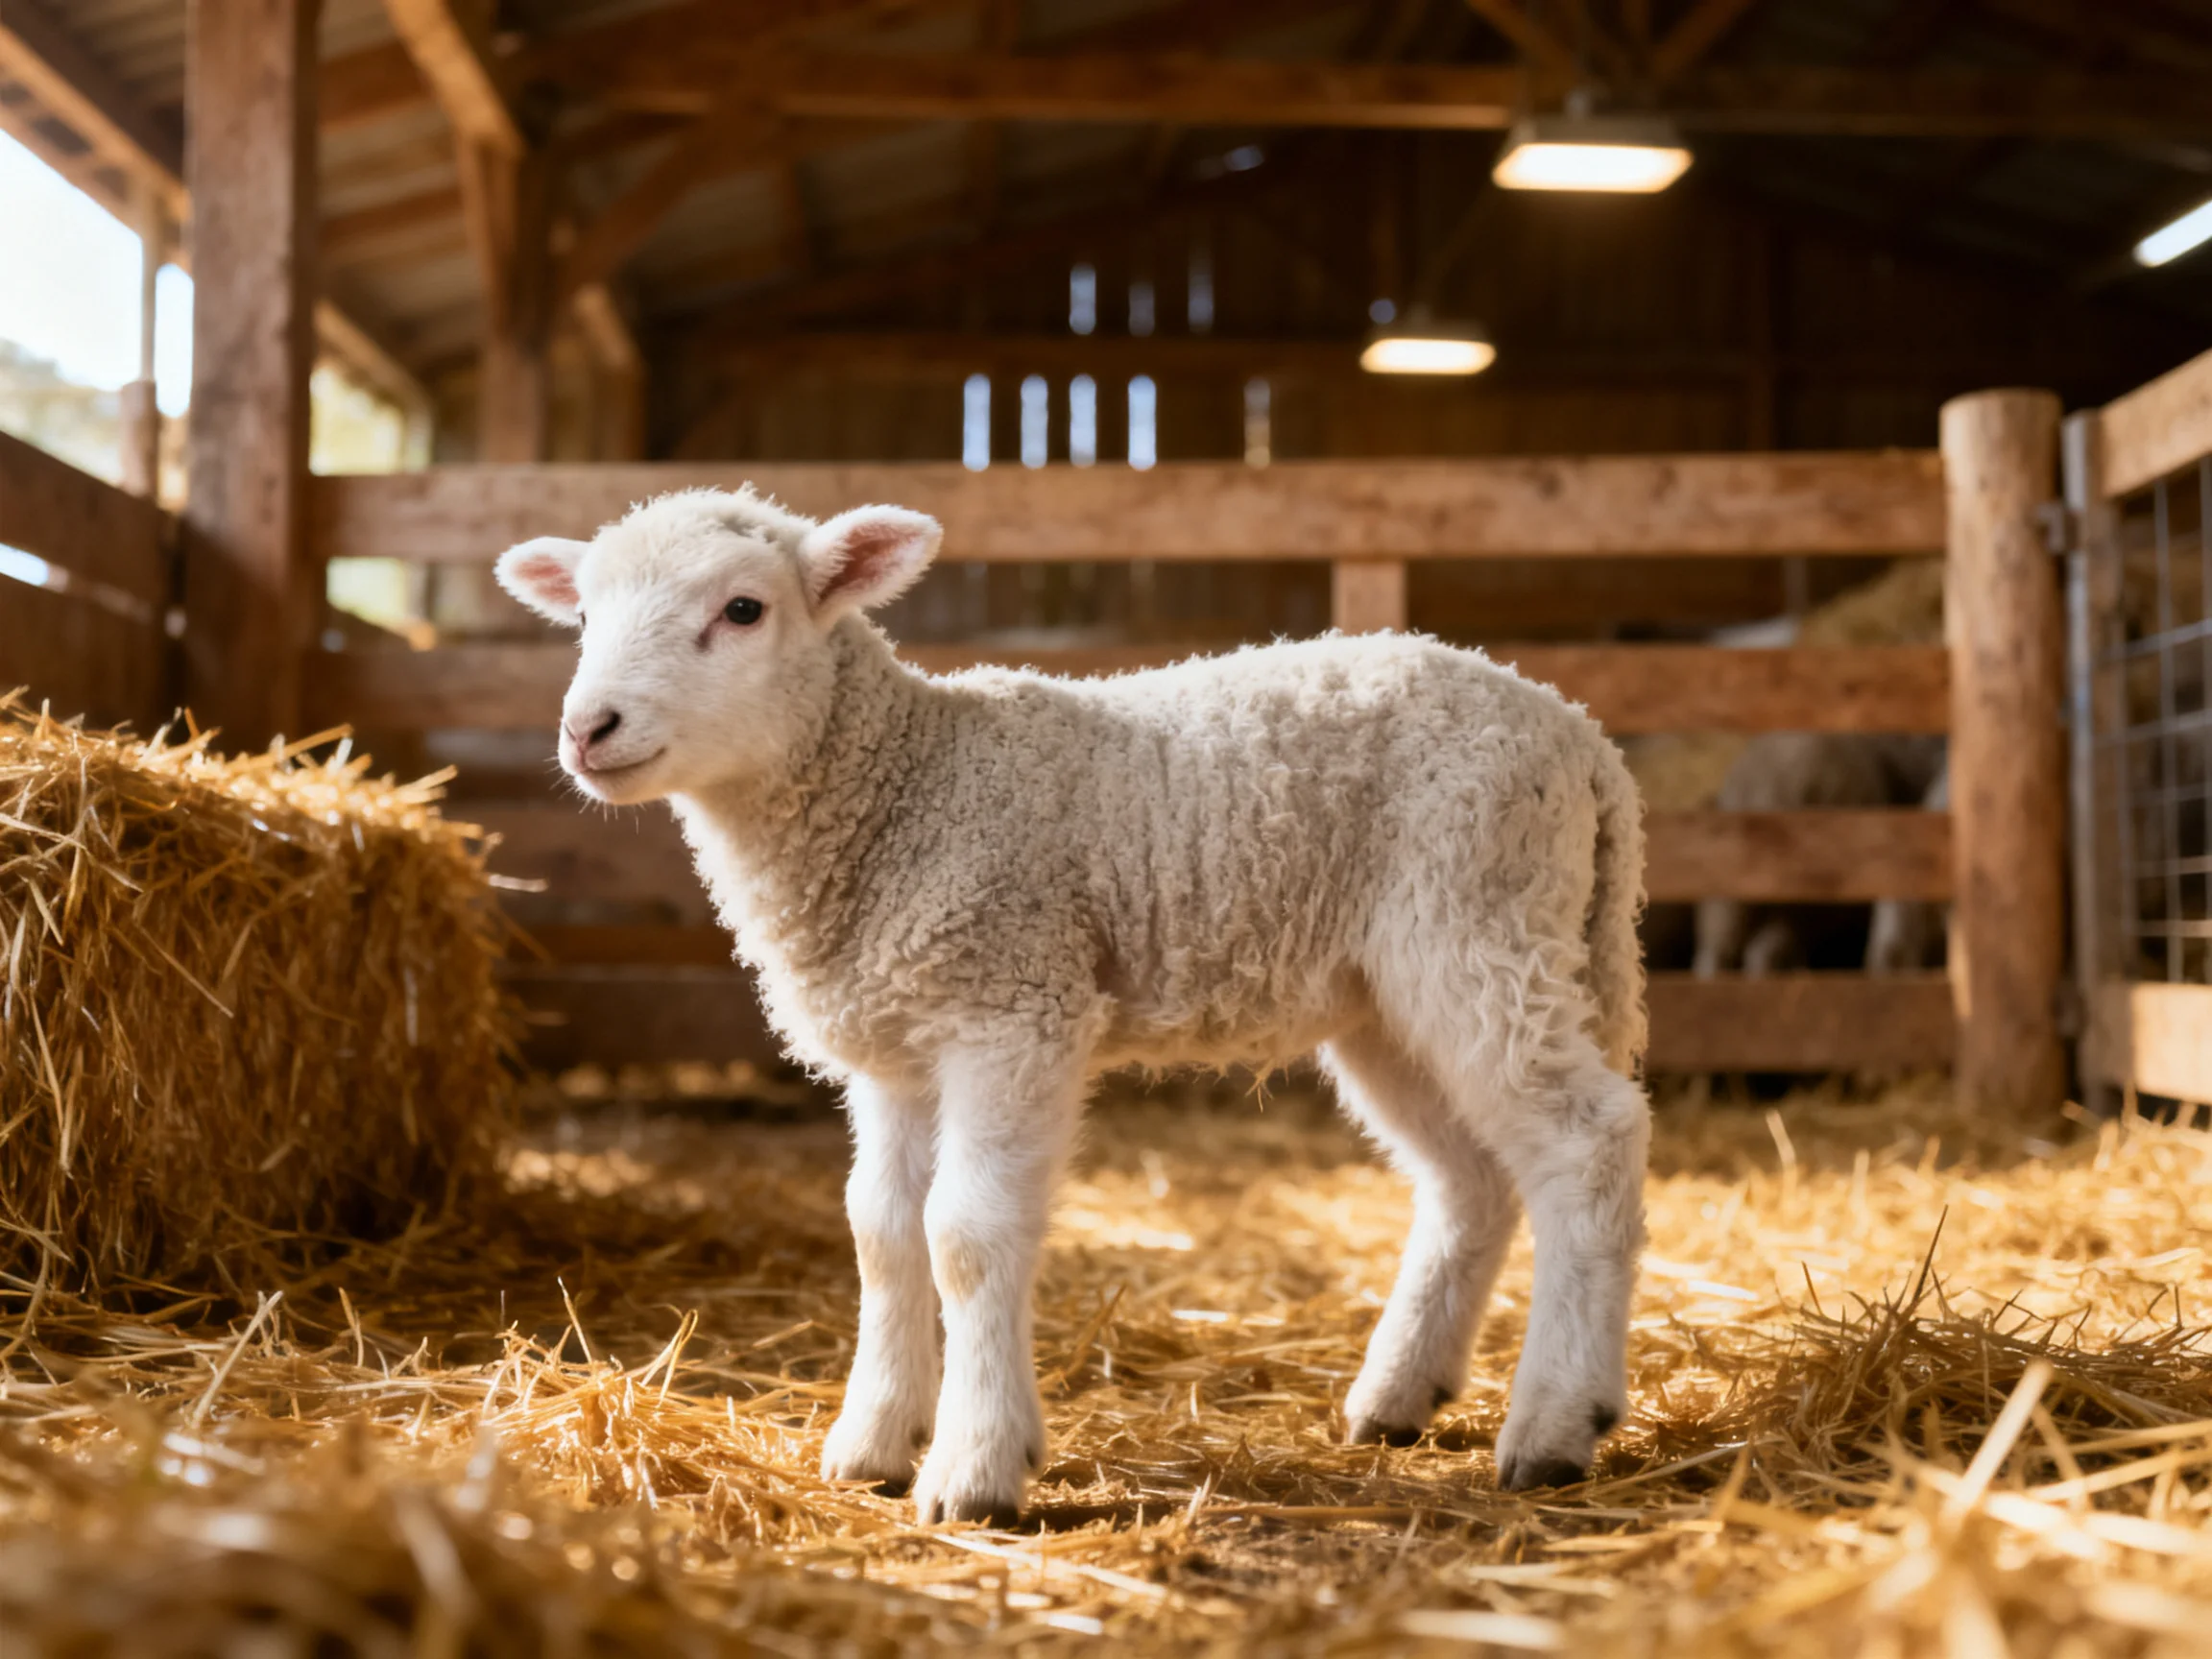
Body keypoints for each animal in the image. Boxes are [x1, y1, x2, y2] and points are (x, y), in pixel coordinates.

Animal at [496, 488, 1652, 1524]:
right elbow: (881, 1230)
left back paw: (1557, 1424)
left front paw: (974, 1467)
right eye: (583, 617)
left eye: (742, 609)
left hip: (1476, 924)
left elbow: (964, 1234)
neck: (907, 787)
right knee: (1470, 1180)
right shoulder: (897, 1047)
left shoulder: (1012, 1009)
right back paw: (1399, 1397)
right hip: (1384, 996)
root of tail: (1580, 736)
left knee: (1586, 1142)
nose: (588, 728)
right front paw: (871, 1445)